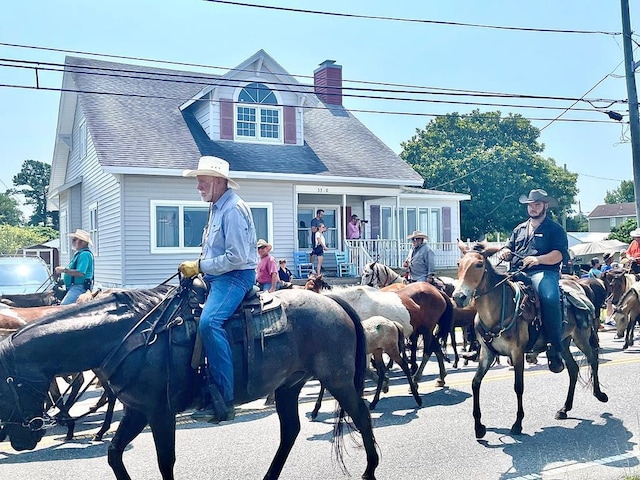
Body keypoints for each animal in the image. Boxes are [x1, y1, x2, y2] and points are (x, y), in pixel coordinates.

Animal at [0, 282, 380, 480]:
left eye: (5, 386)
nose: (18, 440)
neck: (127, 336)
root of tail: (333, 300)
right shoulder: (136, 411)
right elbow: (113, 453)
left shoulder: (159, 412)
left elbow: (164, 460)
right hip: (289, 385)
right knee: (290, 431)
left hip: (338, 379)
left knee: (362, 416)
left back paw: (370, 469)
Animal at [452, 244, 608, 438]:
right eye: (459, 264)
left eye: (479, 265)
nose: (458, 297)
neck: (498, 311)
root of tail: (579, 285)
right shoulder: (487, 353)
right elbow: (475, 383)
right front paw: (479, 427)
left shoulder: (517, 353)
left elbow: (518, 386)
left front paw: (517, 424)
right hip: (563, 342)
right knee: (573, 369)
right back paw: (564, 409)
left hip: (582, 337)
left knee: (593, 359)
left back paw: (599, 394)